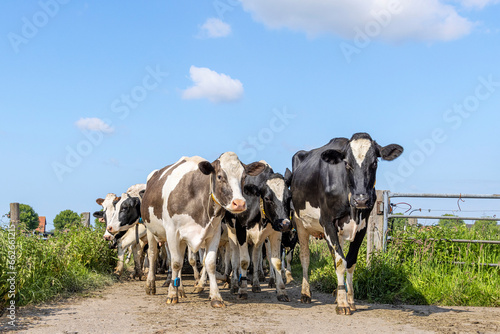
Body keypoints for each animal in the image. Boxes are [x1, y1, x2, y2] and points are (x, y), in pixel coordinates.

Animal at [141, 153, 266, 306]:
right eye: (219, 176)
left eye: (243, 177)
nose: (239, 203)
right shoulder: (172, 232)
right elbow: (175, 263)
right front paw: (171, 294)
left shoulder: (214, 233)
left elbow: (210, 263)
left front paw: (216, 297)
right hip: (150, 230)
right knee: (153, 255)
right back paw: (151, 285)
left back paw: (180, 290)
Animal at [224, 162, 292, 302]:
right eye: (267, 198)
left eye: (289, 197)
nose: (286, 224)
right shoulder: (241, 232)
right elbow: (244, 262)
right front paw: (242, 290)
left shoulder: (275, 233)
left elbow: (276, 262)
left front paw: (281, 291)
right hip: (231, 233)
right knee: (234, 258)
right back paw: (234, 285)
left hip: (259, 241)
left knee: (255, 258)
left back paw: (255, 284)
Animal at [290, 132, 402, 314]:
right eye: (347, 164)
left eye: (375, 163)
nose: (361, 199)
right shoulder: (327, 222)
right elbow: (340, 262)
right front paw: (342, 303)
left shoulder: (363, 226)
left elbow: (349, 261)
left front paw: (349, 299)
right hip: (299, 223)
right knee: (305, 257)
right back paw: (305, 293)